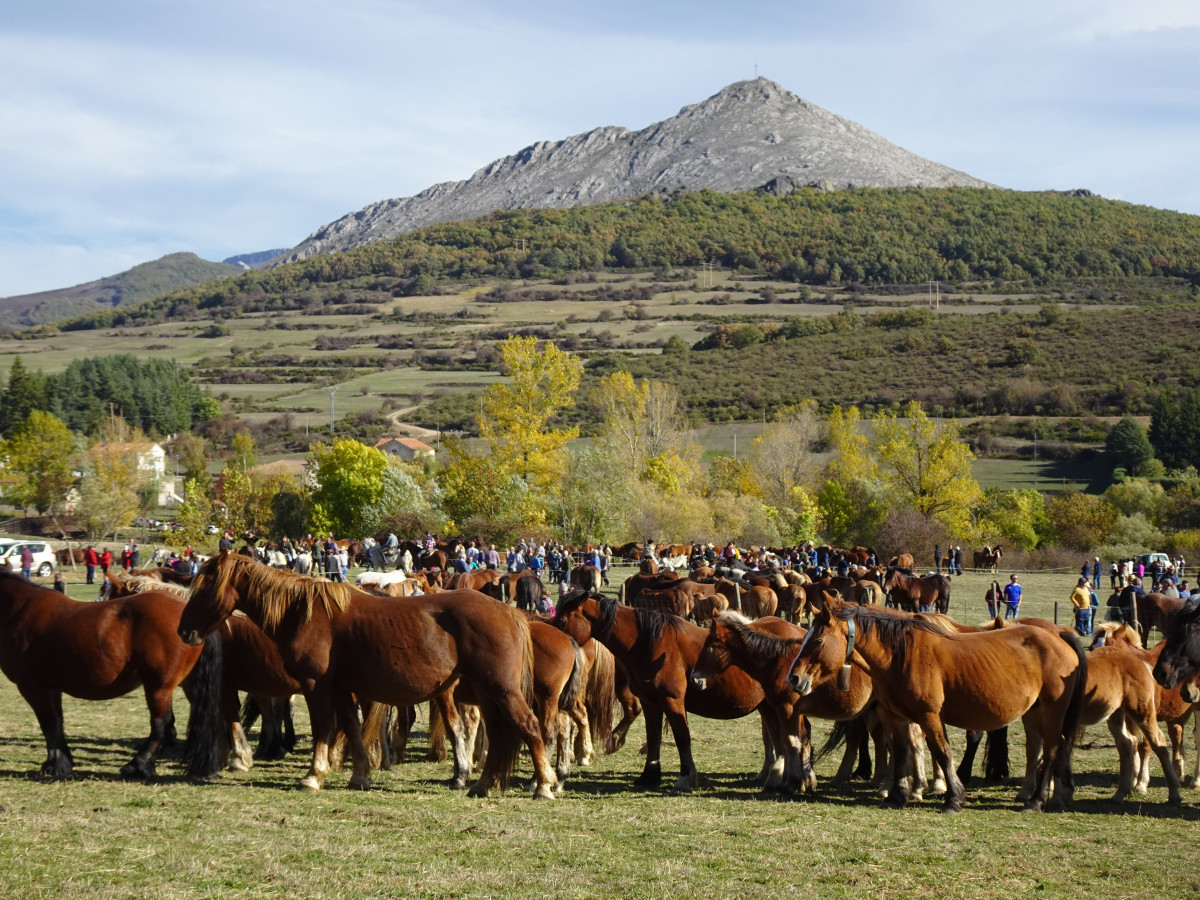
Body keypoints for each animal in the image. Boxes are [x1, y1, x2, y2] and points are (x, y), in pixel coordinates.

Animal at [0, 573, 223, 787]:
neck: (19, 609)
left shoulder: (33, 686)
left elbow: (49, 723)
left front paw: (55, 764)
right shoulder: (52, 688)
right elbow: (57, 721)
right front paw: (63, 761)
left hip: (158, 688)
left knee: (161, 724)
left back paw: (139, 765)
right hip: (188, 685)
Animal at [178, 549, 556, 796]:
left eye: (206, 588)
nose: (184, 632)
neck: (306, 612)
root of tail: (510, 612)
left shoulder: (316, 686)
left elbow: (323, 728)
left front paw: (313, 775)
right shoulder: (341, 689)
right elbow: (351, 728)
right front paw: (360, 774)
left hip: (501, 690)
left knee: (529, 726)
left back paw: (544, 785)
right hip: (487, 693)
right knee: (498, 734)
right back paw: (482, 783)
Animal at [787, 595, 1089, 816]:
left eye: (818, 639)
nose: (793, 678)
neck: (900, 655)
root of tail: (1059, 635)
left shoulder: (929, 715)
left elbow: (942, 752)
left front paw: (953, 798)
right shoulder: (896, 716)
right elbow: (901, 751)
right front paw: (898, 795)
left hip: (1052, 711)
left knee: (1051, 749)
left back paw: (1036, 800)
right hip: (1036, 712)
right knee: (1049, 748)